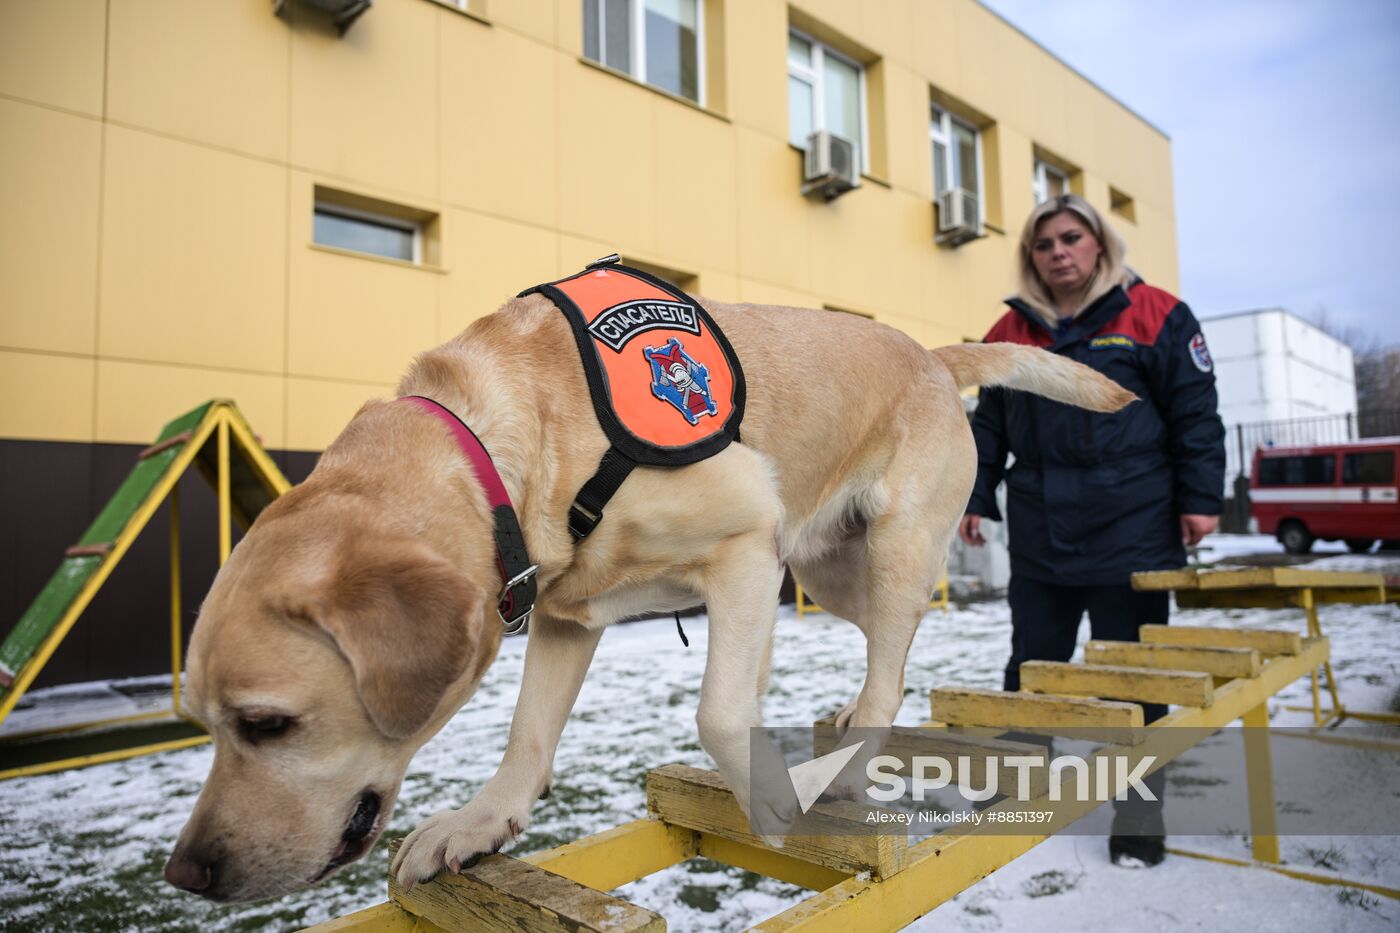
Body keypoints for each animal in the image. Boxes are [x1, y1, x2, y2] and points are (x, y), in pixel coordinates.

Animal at [163, 288, 1131, 896]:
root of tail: (928, 353)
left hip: (886, 547)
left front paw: (770, 794)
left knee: (890, 674)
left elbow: (717, 712)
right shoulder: (564, 614)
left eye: (268, 723)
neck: (504, 445)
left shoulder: (746, 546)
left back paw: (838, 764)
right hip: (826, 568)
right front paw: (481, 822)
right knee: (888, 660)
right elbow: (527, 735)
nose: (187, 874)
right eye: (208, 724)